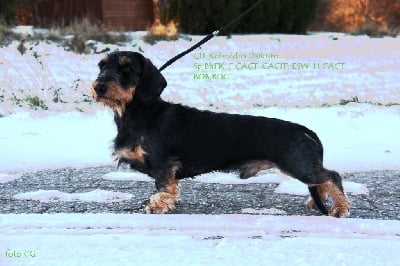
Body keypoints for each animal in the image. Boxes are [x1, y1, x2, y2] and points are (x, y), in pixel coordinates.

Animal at [91, 51, 350, 217]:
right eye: (102, 66)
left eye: (127, 69)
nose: (98, 87)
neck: (141, 113)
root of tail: (304, 130)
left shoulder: (163, 163)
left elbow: (164, 187)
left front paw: (158, 205)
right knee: (322, 179)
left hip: (297, 164)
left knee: (331, 176)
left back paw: (340, 208)